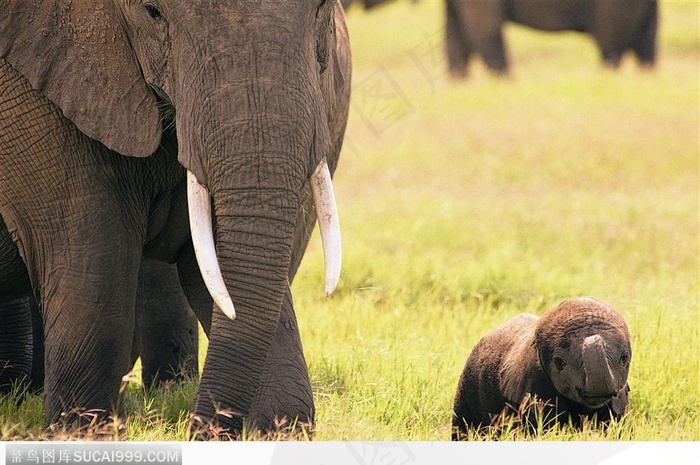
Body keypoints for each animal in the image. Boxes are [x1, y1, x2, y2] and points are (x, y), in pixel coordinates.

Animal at [0, 0, 350, 436]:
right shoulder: (29, 98)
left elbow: (207, 262)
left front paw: (279, 429)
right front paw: (82, 432)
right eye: (153, 12)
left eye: (322, 8)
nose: (202, 429)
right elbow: (93, 263)